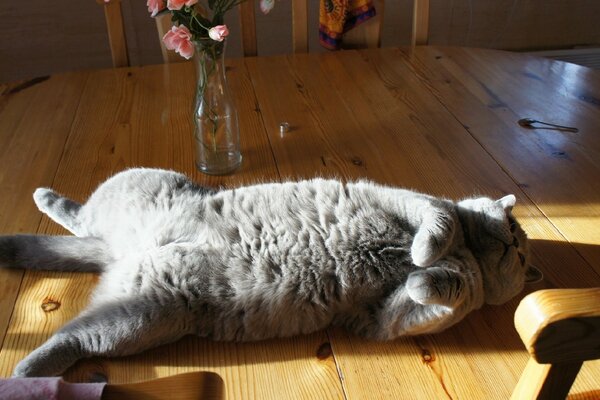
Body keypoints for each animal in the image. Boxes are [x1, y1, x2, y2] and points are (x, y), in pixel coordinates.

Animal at [0, 167, 540, 376]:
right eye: (515, 232)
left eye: (519, 255)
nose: (516, 243)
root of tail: (119, 255)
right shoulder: (404, 200)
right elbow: (438, 221)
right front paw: (428, 253)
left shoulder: (382, 318)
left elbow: (439, 295)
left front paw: (429, 277)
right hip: (136, 198)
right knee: (77, 214)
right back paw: (43, 199)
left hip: (135, 318)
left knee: (70, 336)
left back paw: (26, 371)